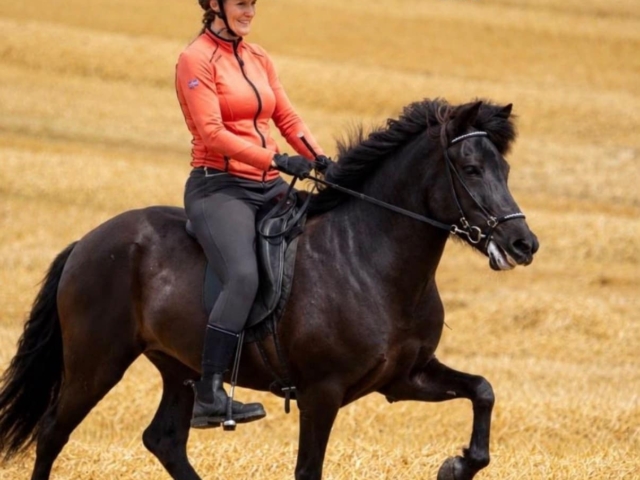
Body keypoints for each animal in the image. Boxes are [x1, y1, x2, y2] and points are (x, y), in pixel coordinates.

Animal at [0, 98, 538, 480]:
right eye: (471, 170)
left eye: (506, 170)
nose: (523, 244)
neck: (371, 259)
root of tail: (89, 242)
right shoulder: (322, 394)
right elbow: (308, 470)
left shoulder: (403, 378)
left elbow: (483, 391)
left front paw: (456, 465)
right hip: (98, 362)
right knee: (53, 432)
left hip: (177, 366)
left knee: (165, 440)